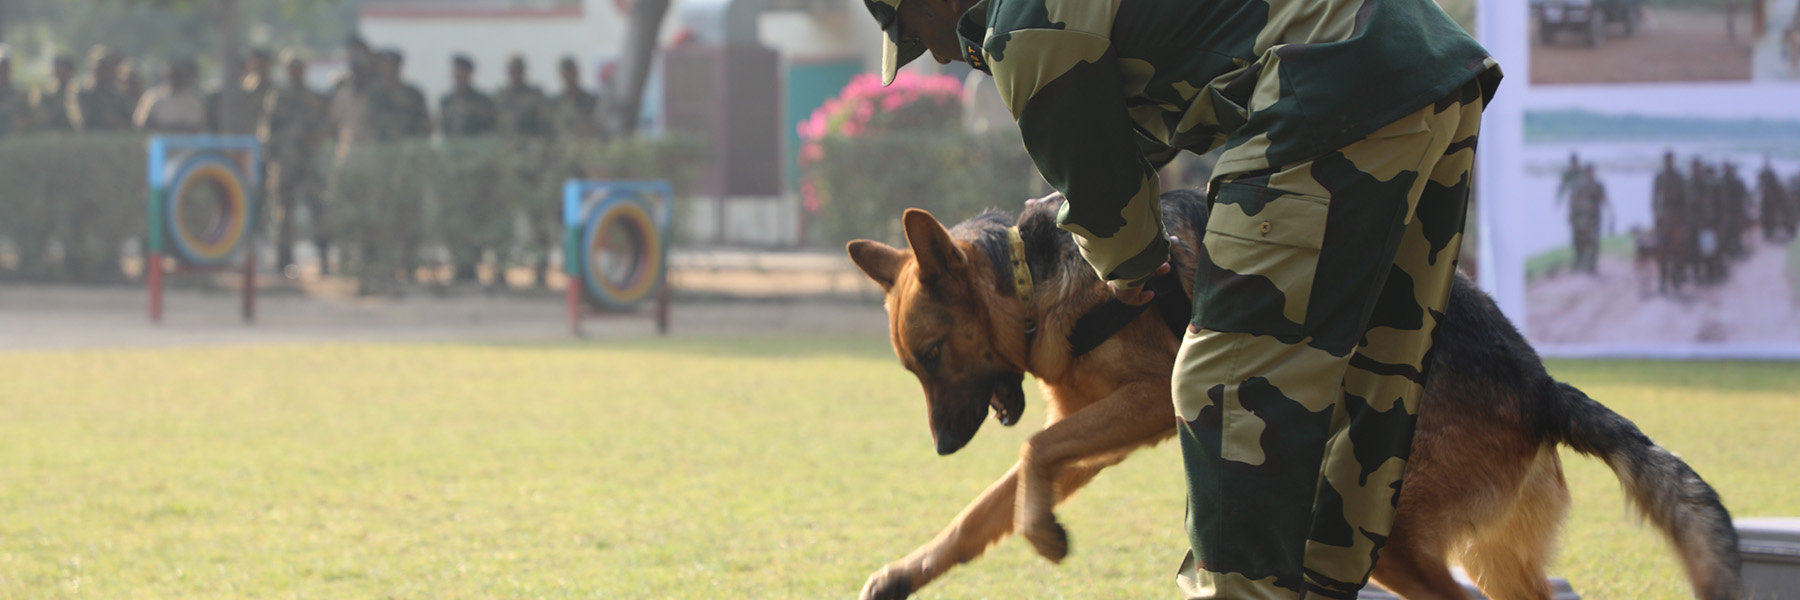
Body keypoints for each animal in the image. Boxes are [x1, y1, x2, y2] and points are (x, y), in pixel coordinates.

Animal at [849, 189, 1735, 594]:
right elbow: (986, 507)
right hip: (1492, 557)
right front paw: (912, 570)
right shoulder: (1095, 434)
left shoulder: (1144, 407)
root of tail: (1542, 386)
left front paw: (1042, 534)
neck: (1032, 276)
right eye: (914, 366)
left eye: (935, 353)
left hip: (1379, 537)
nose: (941, 447)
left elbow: (1031, 451)